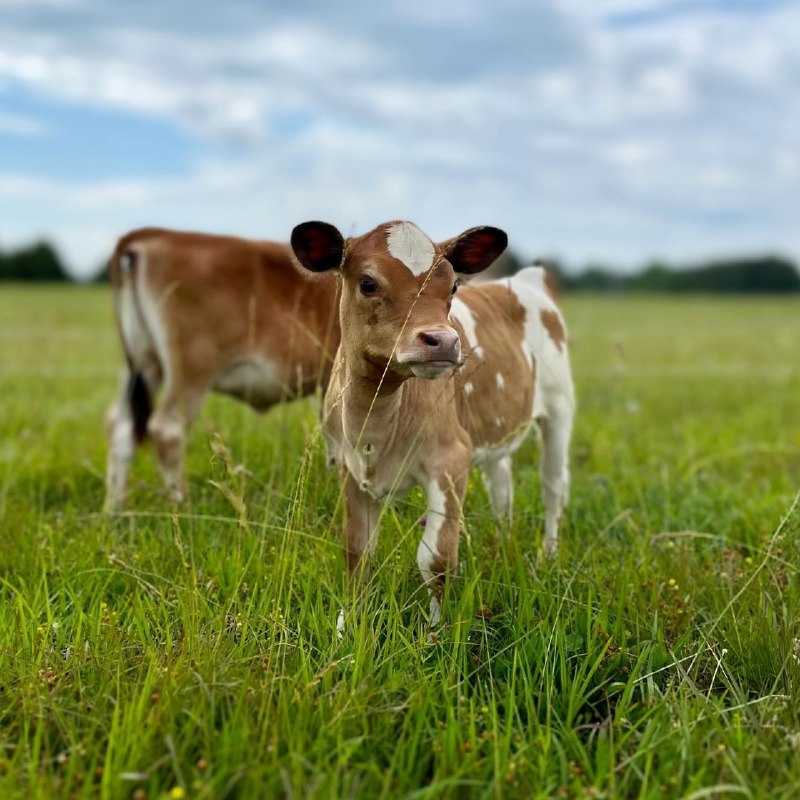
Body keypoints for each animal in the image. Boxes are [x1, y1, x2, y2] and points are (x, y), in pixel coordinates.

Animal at [105, 227, 340, 511]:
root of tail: (160, 234)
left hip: (144, 366)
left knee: (121, 427)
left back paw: (115, 510)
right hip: (191, 370)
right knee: (167, 430)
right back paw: (183, 506)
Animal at [290, 220, 575, 631]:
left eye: (453, 287)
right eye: (368, 283)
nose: (443, 341)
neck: (374, 420)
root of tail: (526, 280)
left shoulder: (450, 461)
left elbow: (435, 560)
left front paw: (435, 631)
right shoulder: (348, 467)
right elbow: (357, 551)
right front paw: (351, 623)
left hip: (559, 410)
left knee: (553, 487)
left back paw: (547, 556)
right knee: (501, 485)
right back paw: (503, 544)